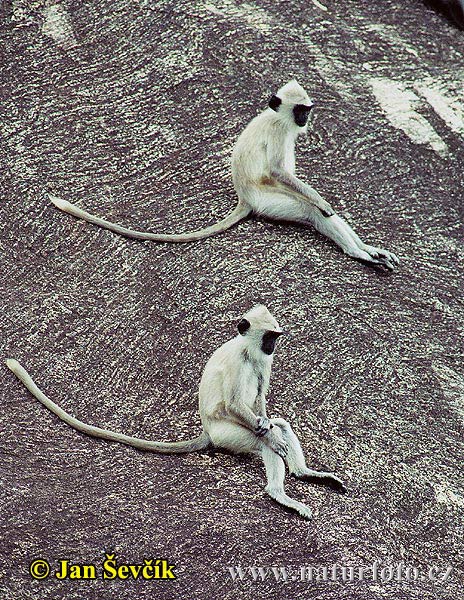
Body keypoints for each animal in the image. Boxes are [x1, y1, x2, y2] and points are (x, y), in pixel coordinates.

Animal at [7, 304, 346, 520]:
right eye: (270, 336)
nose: (273, 347)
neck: (249, 350)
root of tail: (208, 432)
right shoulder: (240, 360)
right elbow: (235, 406)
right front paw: (273, 442)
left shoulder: (263, 362)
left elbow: (261, 401)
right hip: (227, 435)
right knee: (265, 436)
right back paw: (278, 491)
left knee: (278, 425)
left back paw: (304, 473)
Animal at [50, 79, 398, 270]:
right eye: (300, 110)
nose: (305, 120)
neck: (277, 117)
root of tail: (245, 198)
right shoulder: (278, 133)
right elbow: (280, 173)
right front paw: (324, 203)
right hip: (270, 203)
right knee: (312, 211)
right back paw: (357, 252)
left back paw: (368, 251)